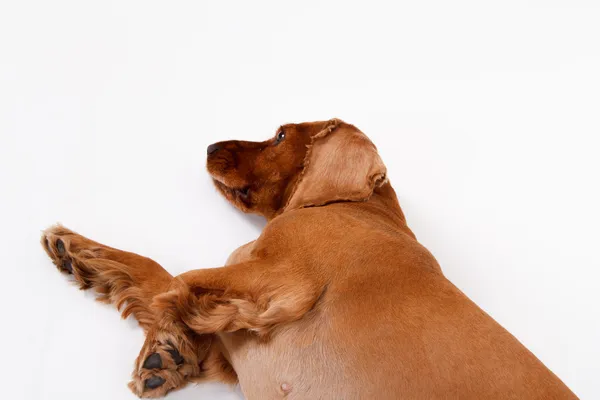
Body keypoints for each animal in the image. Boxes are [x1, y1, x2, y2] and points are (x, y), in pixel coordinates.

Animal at [42, 119, 576, 400]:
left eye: (280, 136)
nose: (210, 145)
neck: (353, 207)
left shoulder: (275, 280)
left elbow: (169, 275)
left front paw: (83, 251)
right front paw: (169, 353)